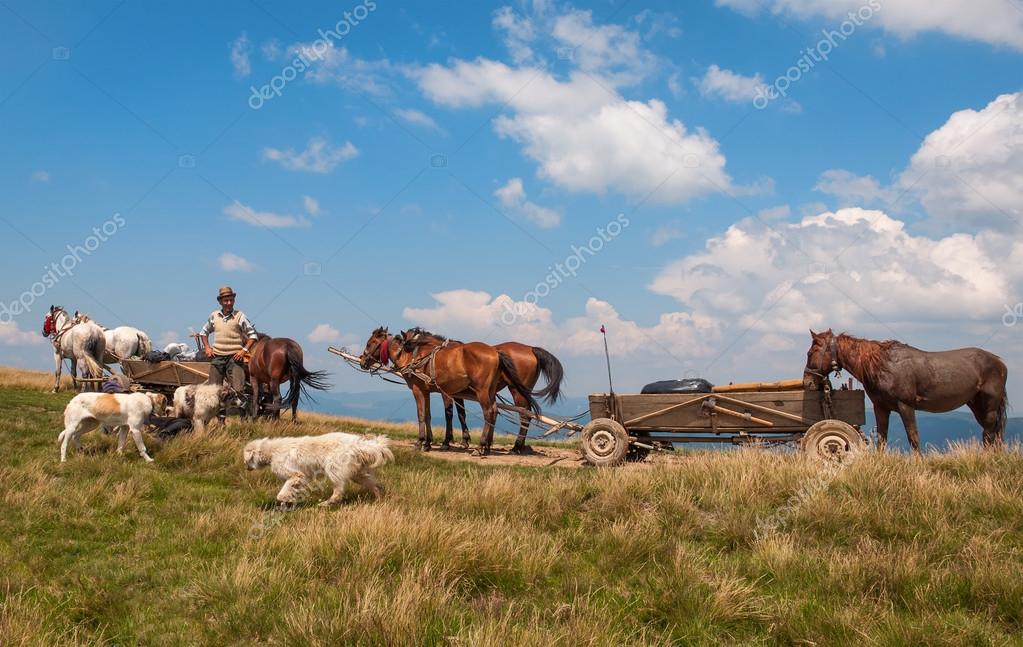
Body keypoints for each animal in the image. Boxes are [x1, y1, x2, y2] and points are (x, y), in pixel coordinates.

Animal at [359, 327, 540, 455]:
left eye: (370, 343)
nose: (362, 361)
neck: (414, 356)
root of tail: (495, 352)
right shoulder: (428, 391)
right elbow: (430, 415)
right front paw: (428, 443)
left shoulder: (423, 390)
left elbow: (427, 414)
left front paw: (421, 442)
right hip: (490, 391)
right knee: (495, 411)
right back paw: (488, 446)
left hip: (488, 391)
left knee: (498, 413)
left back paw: (487, 446)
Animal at [400, 328, 564, 453]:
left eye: (410, 342)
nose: (406, 360)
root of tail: (530, 348)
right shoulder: (455, 393)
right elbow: (459, 414)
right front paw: (463, 440)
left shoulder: (446, 392)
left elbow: (448, 414)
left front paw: (445, 441)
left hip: (514, 391)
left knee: (522, 415)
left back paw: (514, 446)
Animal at [803, 329, 1008, 452]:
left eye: (810, 353)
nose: (807, 382)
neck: (883, 365)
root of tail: (1000, 362)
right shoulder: (881, 408)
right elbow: (882, 438)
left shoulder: (906, 407)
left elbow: (913, 437)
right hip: (977, 406)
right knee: (993, 433)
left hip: (990, 406)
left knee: (989, 434)